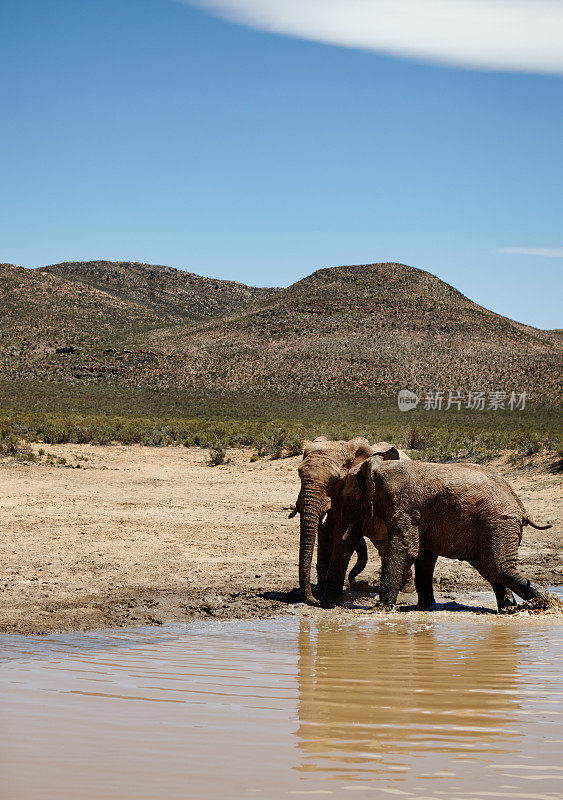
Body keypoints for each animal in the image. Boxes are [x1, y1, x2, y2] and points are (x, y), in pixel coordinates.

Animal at [290, 440, 410, 604]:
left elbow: (342, 541)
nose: (315, 600)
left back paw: (407, 589)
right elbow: (323, 536)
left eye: (334, 480)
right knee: (383, 547)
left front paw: (328, 601)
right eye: (299, 475)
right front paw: (319, 592)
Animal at [320, 456, 552, 612]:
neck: (379, 467)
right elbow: (424, 556)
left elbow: (407, 551)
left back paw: (542, 602)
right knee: (493, 569)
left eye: (348, 499)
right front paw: (425, 607)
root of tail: (520, 506)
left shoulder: (404, 507)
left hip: (498, 524)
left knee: (498, 567)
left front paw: (384, 608)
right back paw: (511, 608)